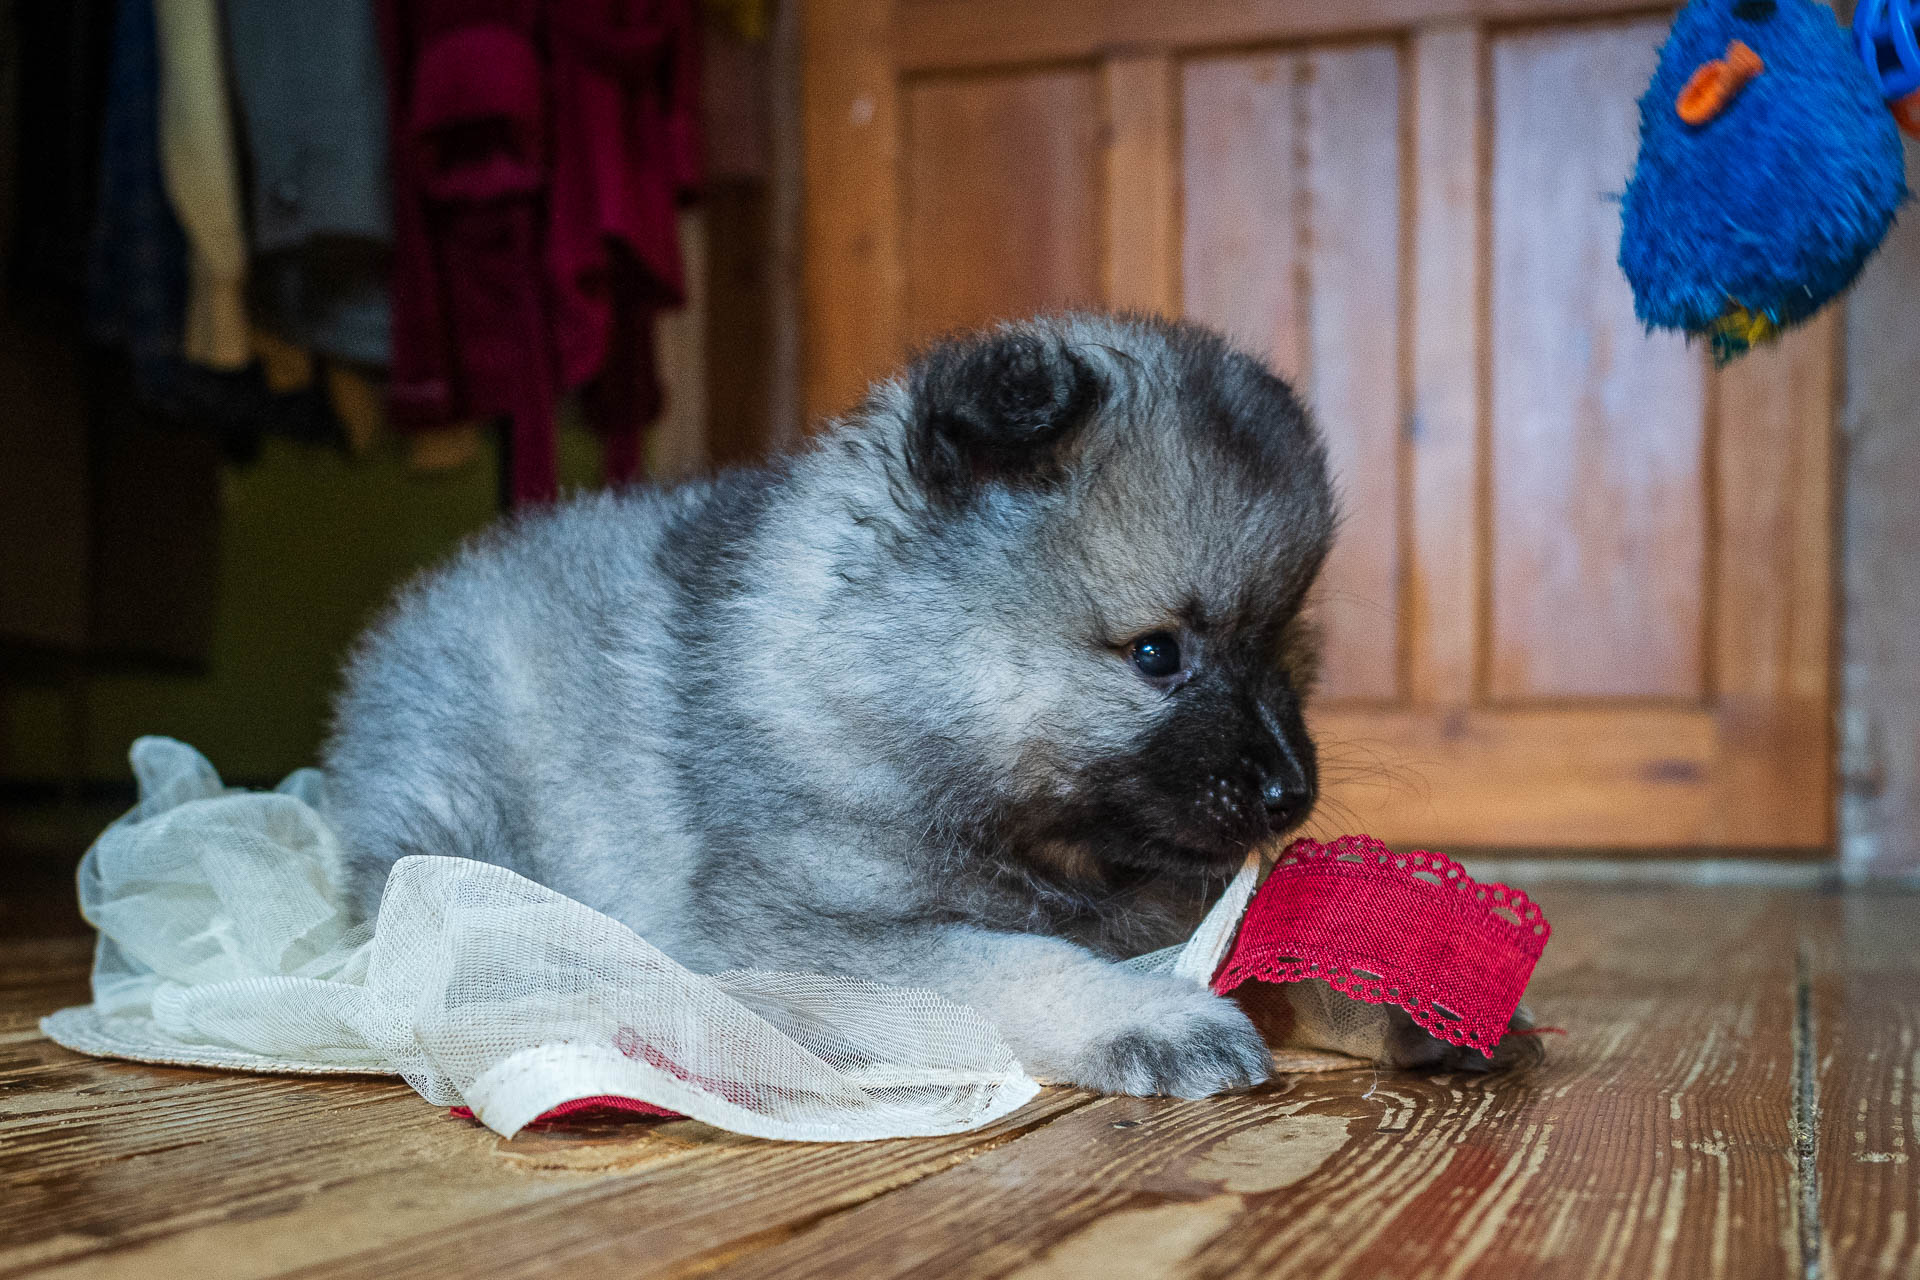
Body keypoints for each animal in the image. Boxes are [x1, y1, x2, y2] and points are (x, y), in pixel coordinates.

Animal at [326, 314, 1336, 1097]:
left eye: (1284, 645)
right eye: (1156, 654)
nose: (1291, 792)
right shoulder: (811, 932)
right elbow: (1019, 963)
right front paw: (1154, 1016)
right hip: (463, 809)